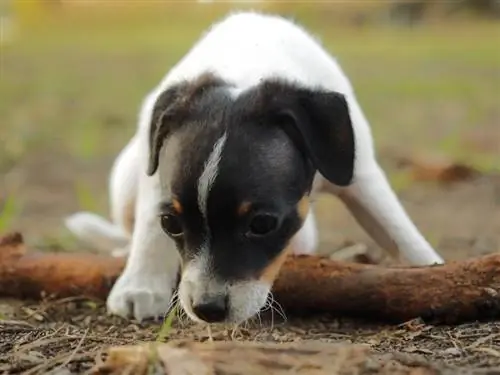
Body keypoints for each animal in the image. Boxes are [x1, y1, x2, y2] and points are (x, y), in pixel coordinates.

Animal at [64, 11, 444, 326]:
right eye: (171, 222)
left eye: (262, 224)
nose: (207, 309)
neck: (246, 67)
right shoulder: (155, 177)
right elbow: (148, 231)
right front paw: (140, 285)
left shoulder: (360, 174)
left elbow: (398, 230)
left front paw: (433, 272)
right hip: (127, 175)